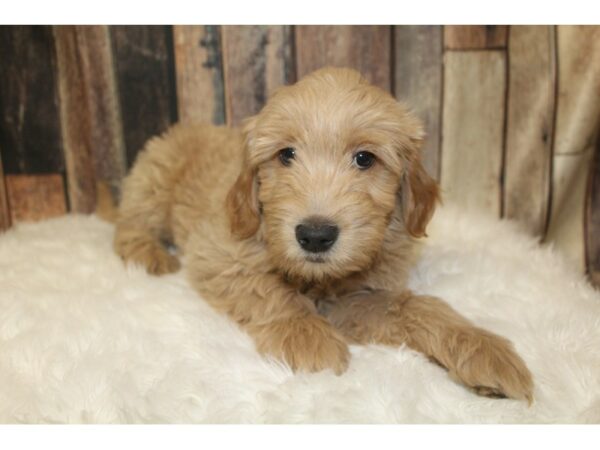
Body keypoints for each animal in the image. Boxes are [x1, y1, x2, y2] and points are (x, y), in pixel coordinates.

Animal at [113, 66, 536, 400]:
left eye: (364, 159)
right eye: (286, 154)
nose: (315, 235)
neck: (320, 280)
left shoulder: (362, 296)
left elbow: (419, 308)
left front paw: (483, 348)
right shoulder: (219, 254)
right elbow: (268, 290)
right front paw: (306, 334)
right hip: (155, 178)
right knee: (128, 222)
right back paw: (148, 253)